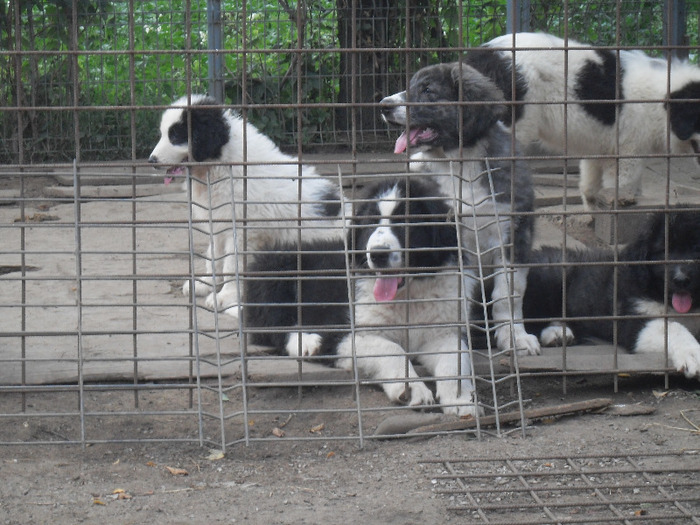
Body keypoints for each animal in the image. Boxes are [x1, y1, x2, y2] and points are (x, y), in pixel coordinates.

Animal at [148, 94, 344, 316]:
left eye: (175, 136)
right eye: (165, 134)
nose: (151, 160)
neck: (218, 166)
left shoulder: (243, 232)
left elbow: (231, 265)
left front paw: (224, 296)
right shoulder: (218, 224)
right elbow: (213, 257)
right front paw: (205, 284)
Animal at [380, 61, 540, 356]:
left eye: (428, 90)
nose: (384, 105)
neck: (458, 164)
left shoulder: (514, 234)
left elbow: (508, 293)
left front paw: (515, 337)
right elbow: (457, 294)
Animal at [468, 31, 700, 209]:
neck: (660, 98)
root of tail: (481, 55)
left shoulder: (599, 149)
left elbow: (589, 189)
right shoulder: (628, 152)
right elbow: (620, 186)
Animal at [524, 206, 700, 376]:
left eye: (696, 248)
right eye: (664, 251)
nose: (681, 280)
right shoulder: (634, 319)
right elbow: (673, 328)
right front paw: (693, 355)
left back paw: (560, 333)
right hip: (550, 275)